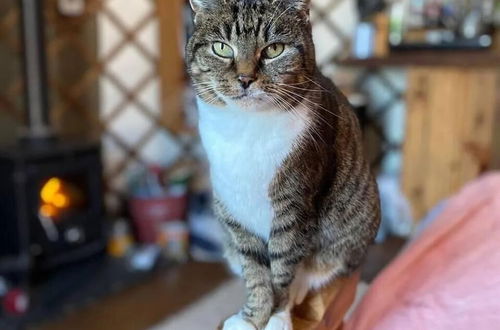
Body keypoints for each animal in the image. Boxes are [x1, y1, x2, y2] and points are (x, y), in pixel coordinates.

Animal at [187, 1, 378, 328]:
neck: (247, 129)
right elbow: (254, 270)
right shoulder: (234, 210)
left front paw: (277, 314)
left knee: (320, 267)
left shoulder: (295, 206)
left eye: (274, 49)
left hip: (354, 225)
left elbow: (283, 268)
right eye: (221, 48)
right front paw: (252, 316)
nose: (245, 79)